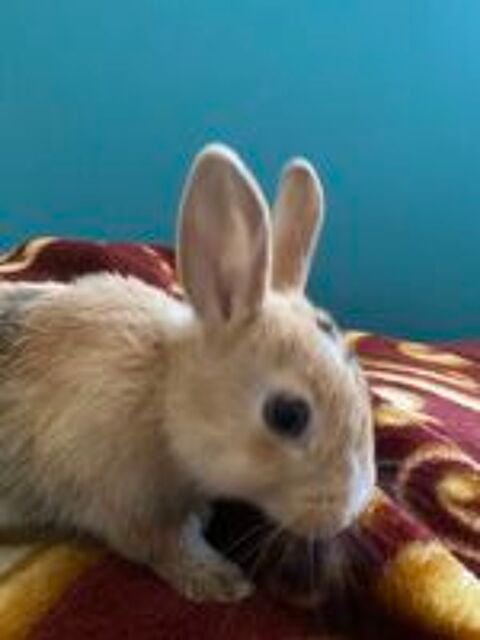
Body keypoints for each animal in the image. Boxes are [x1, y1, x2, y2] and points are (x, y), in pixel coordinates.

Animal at [0, 144, 375, 602]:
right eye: (287, 415)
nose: (347, 514)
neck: (163, 394)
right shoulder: (124, 504)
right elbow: (167, 545)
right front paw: (221, 581)